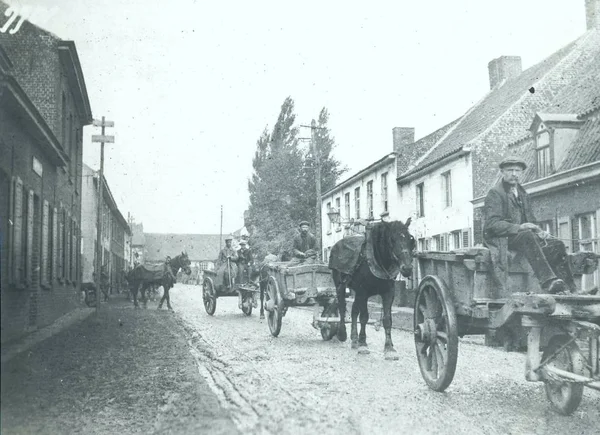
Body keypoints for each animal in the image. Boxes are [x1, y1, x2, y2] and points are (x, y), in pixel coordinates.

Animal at [328, 220, 418, 360]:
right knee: (342, 307)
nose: (407, 268)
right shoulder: (363, 292)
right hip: (340, 284)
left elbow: (387, 319)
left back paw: (354, 339)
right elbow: (364, 317)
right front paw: (363, 344)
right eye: (392, 240)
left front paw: (389, 348)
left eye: (411, 240)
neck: (378, 260)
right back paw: (342, 333)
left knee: (354, 311)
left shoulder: (389, 293)